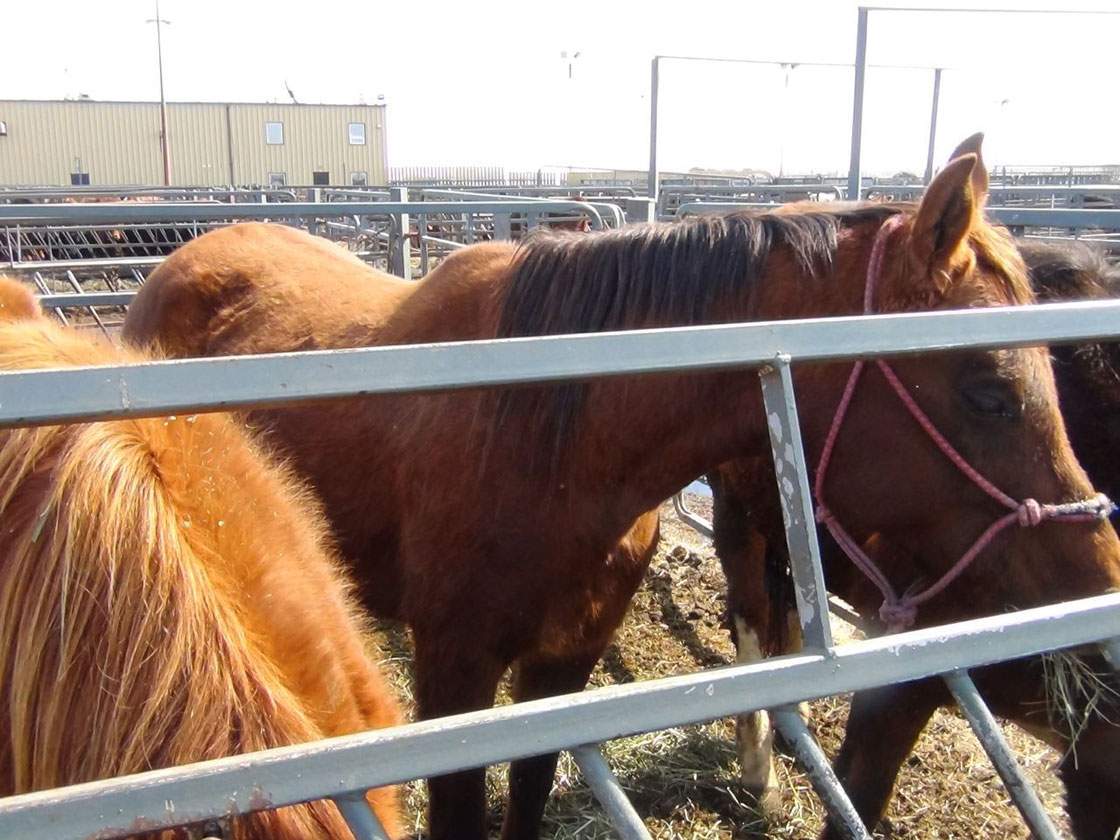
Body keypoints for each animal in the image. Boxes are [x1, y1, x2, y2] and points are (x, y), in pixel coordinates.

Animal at [711, 237, 1120, 836]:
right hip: (737, 517)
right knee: (750, 616)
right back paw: (760, 768)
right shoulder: (903, 678)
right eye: (991, 400)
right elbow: (859, 801)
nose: (1103, 571)